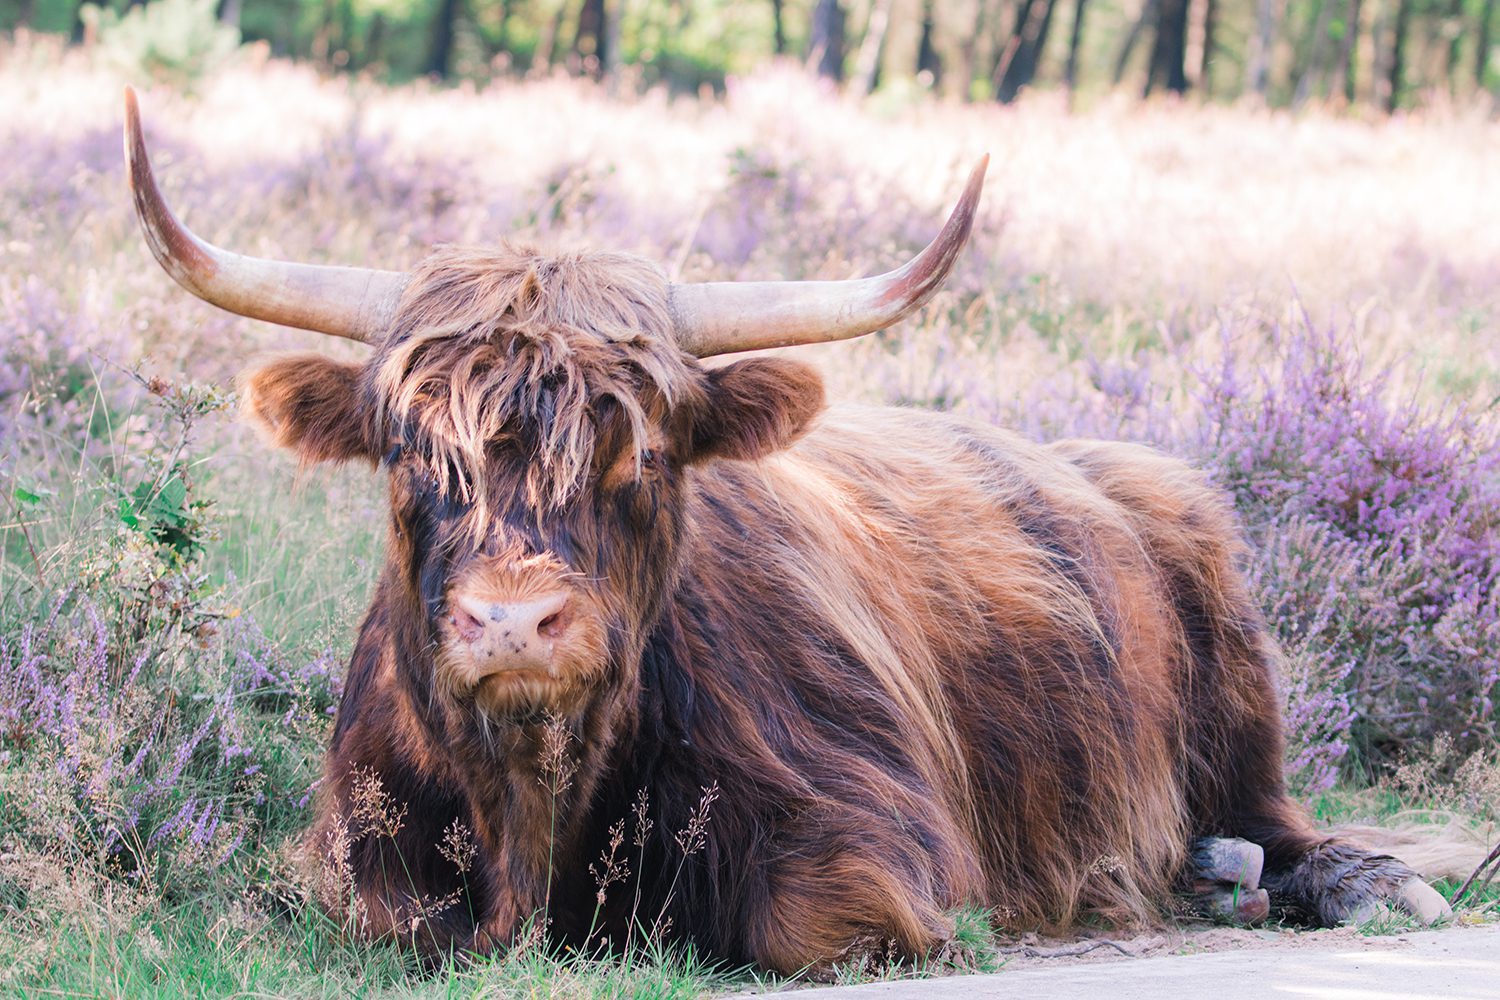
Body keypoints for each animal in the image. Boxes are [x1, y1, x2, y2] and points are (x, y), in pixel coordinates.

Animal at [123, 89, 1446, 971]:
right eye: (409, 451)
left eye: (643, 453)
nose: (513, 621)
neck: (536, 817)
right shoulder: (356, 857)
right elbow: (393, 918)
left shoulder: (882, 836)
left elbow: (798, 923)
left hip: (1235, 669)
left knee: (1277, 821)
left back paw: (1344, 885)